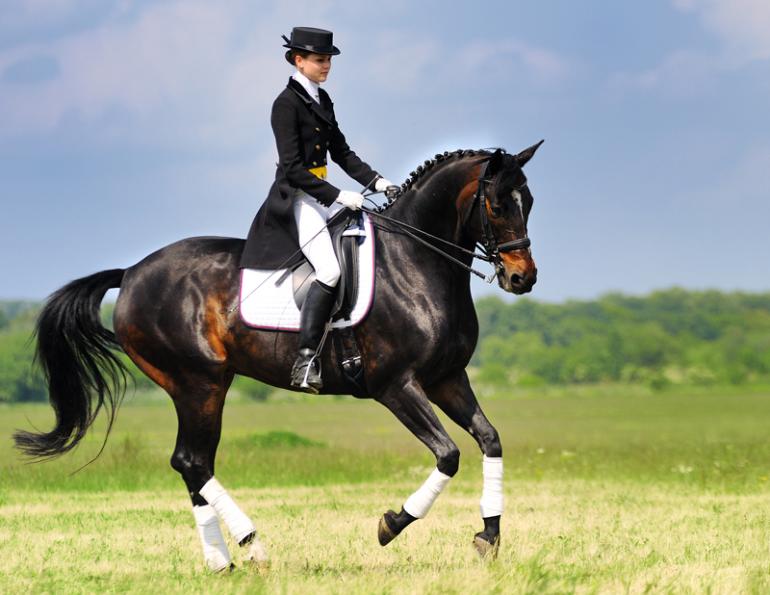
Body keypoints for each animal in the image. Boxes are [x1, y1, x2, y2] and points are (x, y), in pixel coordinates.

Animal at [14, 143, 542, 571]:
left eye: (530, 202)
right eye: (497, 204)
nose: (523, 278)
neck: (416, 263)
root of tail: (131, 273)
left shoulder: (447, 378)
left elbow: (490, 440)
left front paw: (488, 537)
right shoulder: (395, 385)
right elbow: (448, 454)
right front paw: (392, 523)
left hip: (200, 387)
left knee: (193, 464)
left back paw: (221, 562)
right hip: (199, 383)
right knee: (192, 461)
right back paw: (253, 547)